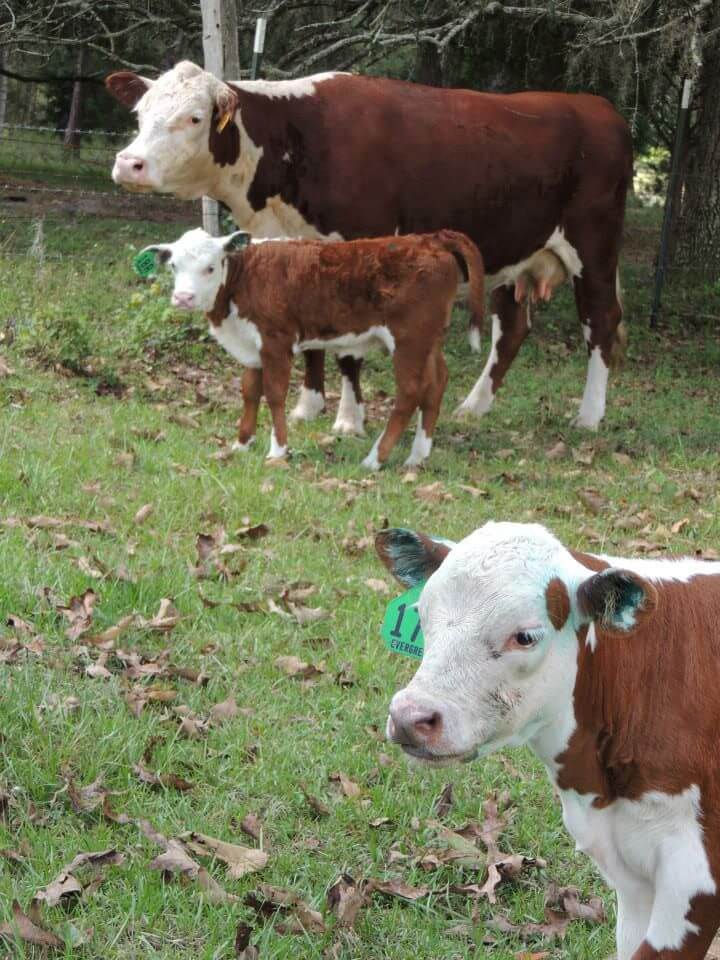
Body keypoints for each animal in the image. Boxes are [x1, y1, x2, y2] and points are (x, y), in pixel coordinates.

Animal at [106, 61, 632, 438]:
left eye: (194, 118)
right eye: (140, 115)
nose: (129, 163)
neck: (297, 140)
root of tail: (595, 106)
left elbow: (347, 349)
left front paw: (348, 420)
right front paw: (308, 407)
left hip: (594, 246)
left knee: (601, 322)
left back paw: (589, 416)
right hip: (508, 250)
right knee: (513, 328)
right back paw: (473, 406)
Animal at [140, 227, 484, 469]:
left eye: (210, 267)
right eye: (174, 266)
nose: (183, 298)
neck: (244, 278)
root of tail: (430, 239)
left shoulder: (276, 341)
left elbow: (274, 394)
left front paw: (277, 450)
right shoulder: (251, 345)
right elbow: (250, 391)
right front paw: (241, 444)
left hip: (409, 340)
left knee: (410, 392)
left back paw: (375, 459)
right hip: (429, 340)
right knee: (436, 384)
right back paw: (417, 456)